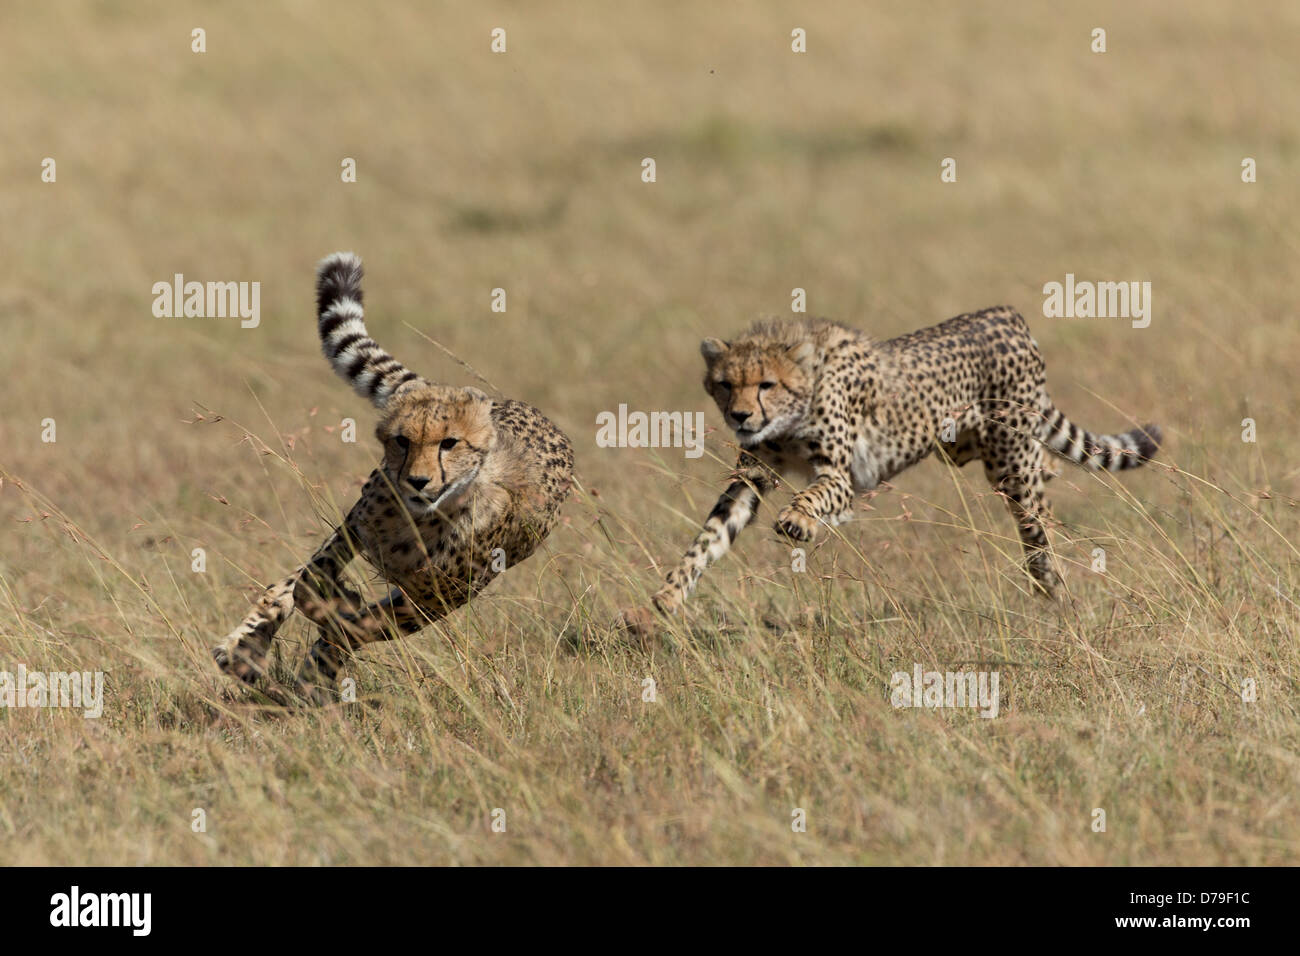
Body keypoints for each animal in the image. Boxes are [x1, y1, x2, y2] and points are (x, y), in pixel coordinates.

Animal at [214, 254, 574, 702]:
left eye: (449, 443)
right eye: (402, 440)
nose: (418, 481)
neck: (424, 517)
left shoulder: (434, 597)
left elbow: (356, 626)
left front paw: (335, 628)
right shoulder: (356, 525)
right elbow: (309, 585)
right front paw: (328, 610)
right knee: (287, 585)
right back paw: (244, 649)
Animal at [624, 308, 1164, 629]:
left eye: (765, 384)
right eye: (724, 383)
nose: (739, 416)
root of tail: (1006, 316)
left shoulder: (841, 476)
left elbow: (814, 495)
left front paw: (798, 521)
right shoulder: (751, 478)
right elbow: (709, 537)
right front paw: (666, 597)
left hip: (1011, 462)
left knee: (1039, 524)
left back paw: (1056, 590)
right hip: (969, 450)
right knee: (1046, 468)